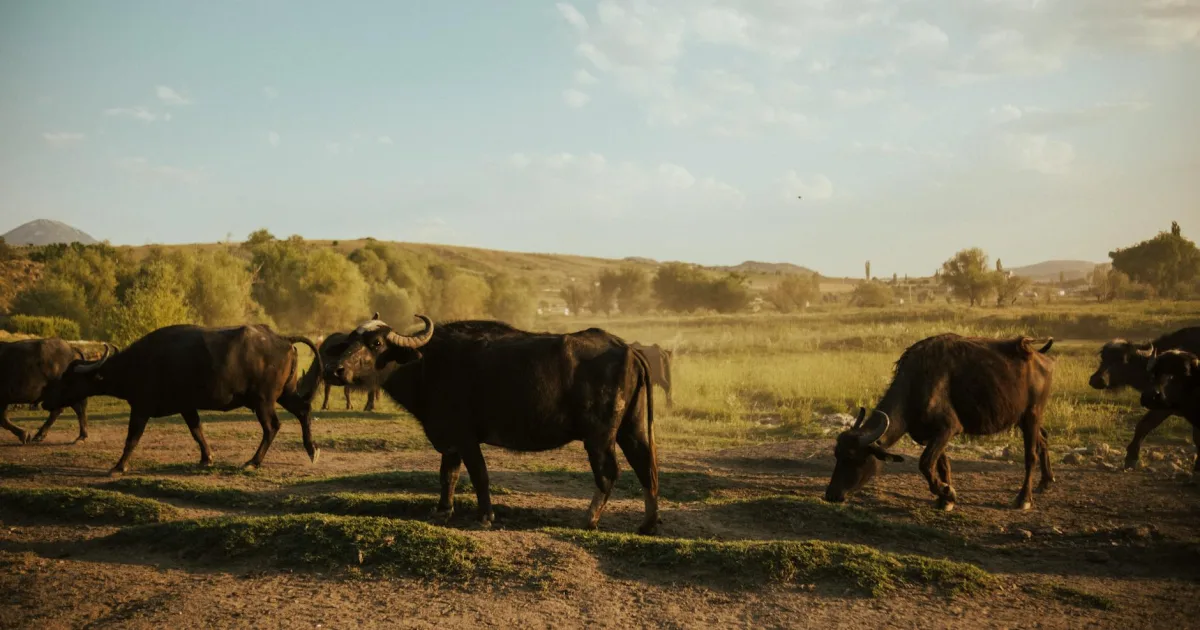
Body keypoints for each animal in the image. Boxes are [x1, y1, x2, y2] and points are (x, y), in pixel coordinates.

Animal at [41, 324, 322, 474]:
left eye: (68, 379)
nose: (45, 400)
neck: (136, 364)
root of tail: (282, 338)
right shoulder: (187, 407)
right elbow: (197, 431)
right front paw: (206, 458)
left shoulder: (140, 408)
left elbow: (132, 439)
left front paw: (118, 467)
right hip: (284, 393)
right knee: (303, 409)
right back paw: (311, 450)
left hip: (263, 400)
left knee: (272, 426)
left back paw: (253, 462)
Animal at [330, 315, 660, 534]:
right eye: (349, 341)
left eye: (375, 343)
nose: (336, 370)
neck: (427, 365)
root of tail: (627, 349)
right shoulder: (450, 441)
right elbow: (447, 476)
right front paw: (443, 510)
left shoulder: (466, 437)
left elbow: (479, 475)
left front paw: (485, 516)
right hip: (632, 429)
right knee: (647, 467)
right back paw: (648, 524)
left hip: (599, 437)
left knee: (609, 473)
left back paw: (589, 519)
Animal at [824, 334, 1055, 511]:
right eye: (837, 455)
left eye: (854, 458)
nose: (831, 495)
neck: (915, 386)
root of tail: (1041, 357)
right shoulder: (931, 435)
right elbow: (942, 464)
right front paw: (945, 498)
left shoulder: (948, 428)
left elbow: (925, 463)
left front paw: (947, 492)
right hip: (1023, 417)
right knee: (1043, 439)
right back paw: (1046, 482)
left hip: (1032, 414)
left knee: (1031, 455)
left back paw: (1024, 499)